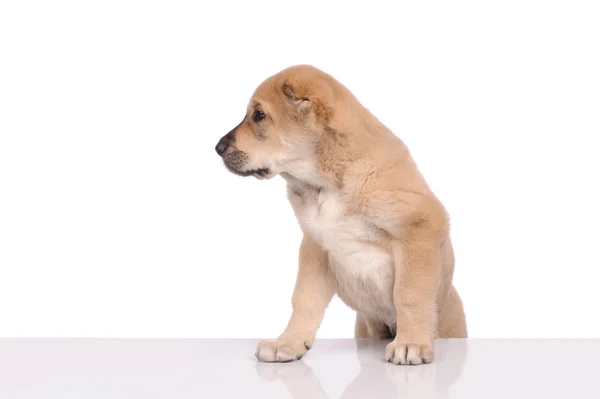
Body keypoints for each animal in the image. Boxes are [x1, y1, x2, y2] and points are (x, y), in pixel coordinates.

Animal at [216, 65, 468, 366]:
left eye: (259, 115)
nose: (217, 148)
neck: (328, 184)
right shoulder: (314, 246)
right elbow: (304, 299)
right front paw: (288, 342)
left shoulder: (420, 229)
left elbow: (410, 293)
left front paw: (411, 343)